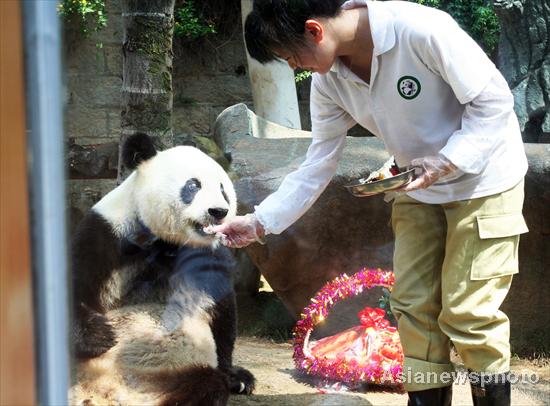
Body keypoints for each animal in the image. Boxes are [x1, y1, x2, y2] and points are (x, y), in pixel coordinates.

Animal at [69, 134, 256, 406]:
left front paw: (236, 377)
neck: (169, 242)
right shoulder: (107, 235)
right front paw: (99, 335)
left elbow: (222, 314)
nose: (218, 212)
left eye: (223, 189)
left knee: (205, 384)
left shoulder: (207, 257)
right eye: (193, 185)